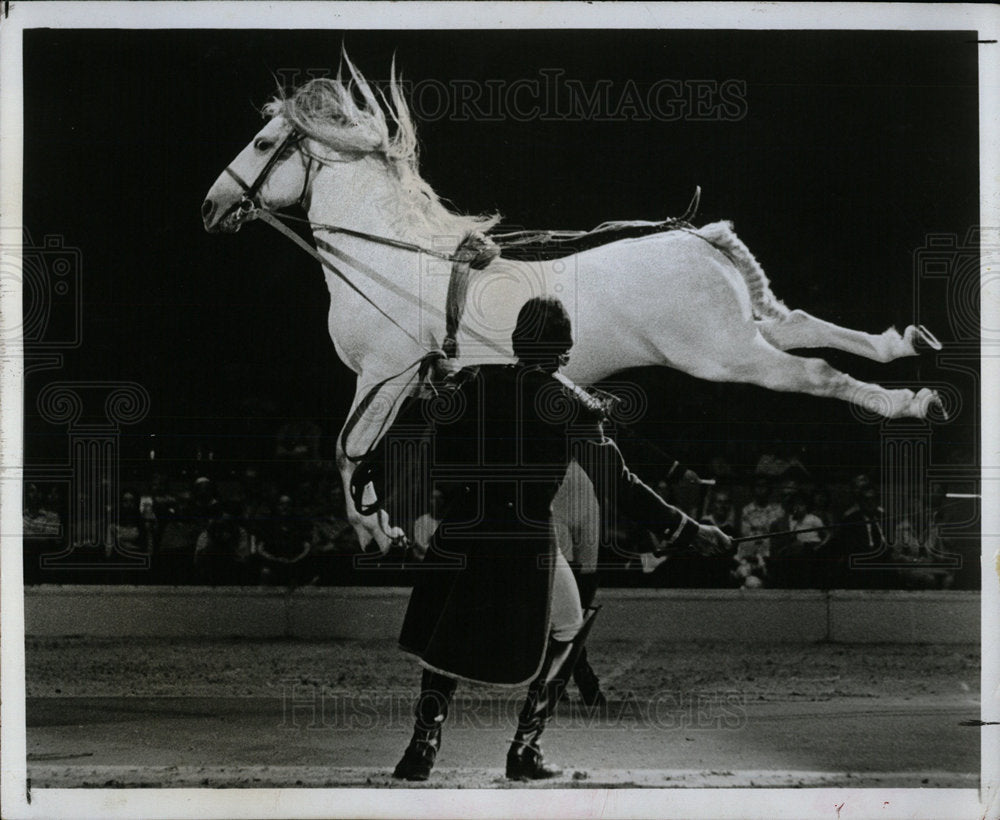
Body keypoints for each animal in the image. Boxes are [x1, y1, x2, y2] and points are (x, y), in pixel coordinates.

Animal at [201, 59, 936, 552]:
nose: (211, 207)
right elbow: (371, 458)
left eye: (263, 145)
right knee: (805, 328)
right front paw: (389, 527)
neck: (387, 257)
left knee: (816, 373)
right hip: (740, 334)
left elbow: (346, 453)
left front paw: (376, 530)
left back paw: (911, 402)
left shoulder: (384, 373)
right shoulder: (417, 384)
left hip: (723, 354)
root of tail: (696, 236)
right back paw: (905, 347)